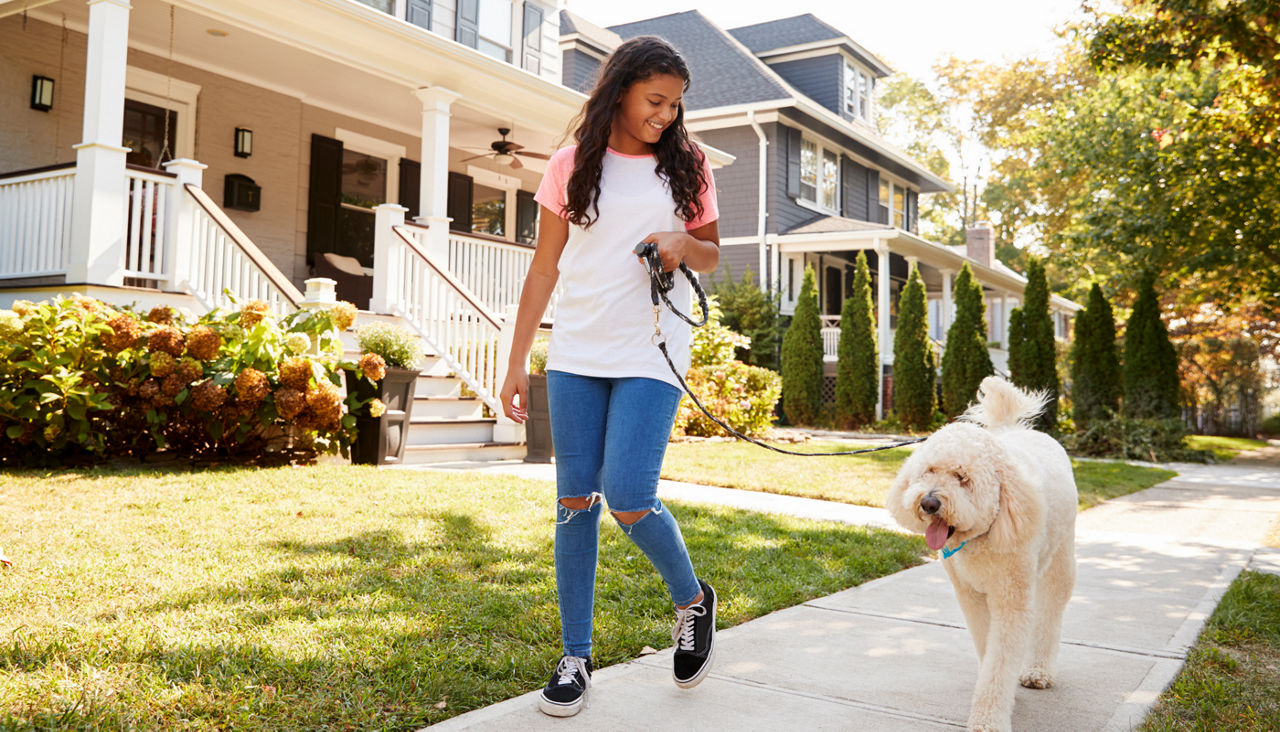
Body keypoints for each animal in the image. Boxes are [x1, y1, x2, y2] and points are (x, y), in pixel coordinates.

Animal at [890, 376, 1080, 732]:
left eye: (962, 477)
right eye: (928, 470)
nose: (929, 503)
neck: (981, 537)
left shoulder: (1011, 599)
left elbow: (1001, 660)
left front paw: (988, 719)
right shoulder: (971, 596)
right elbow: (986, 645)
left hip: (1060, 561)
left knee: (1050, 613)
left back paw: (1038, 670)